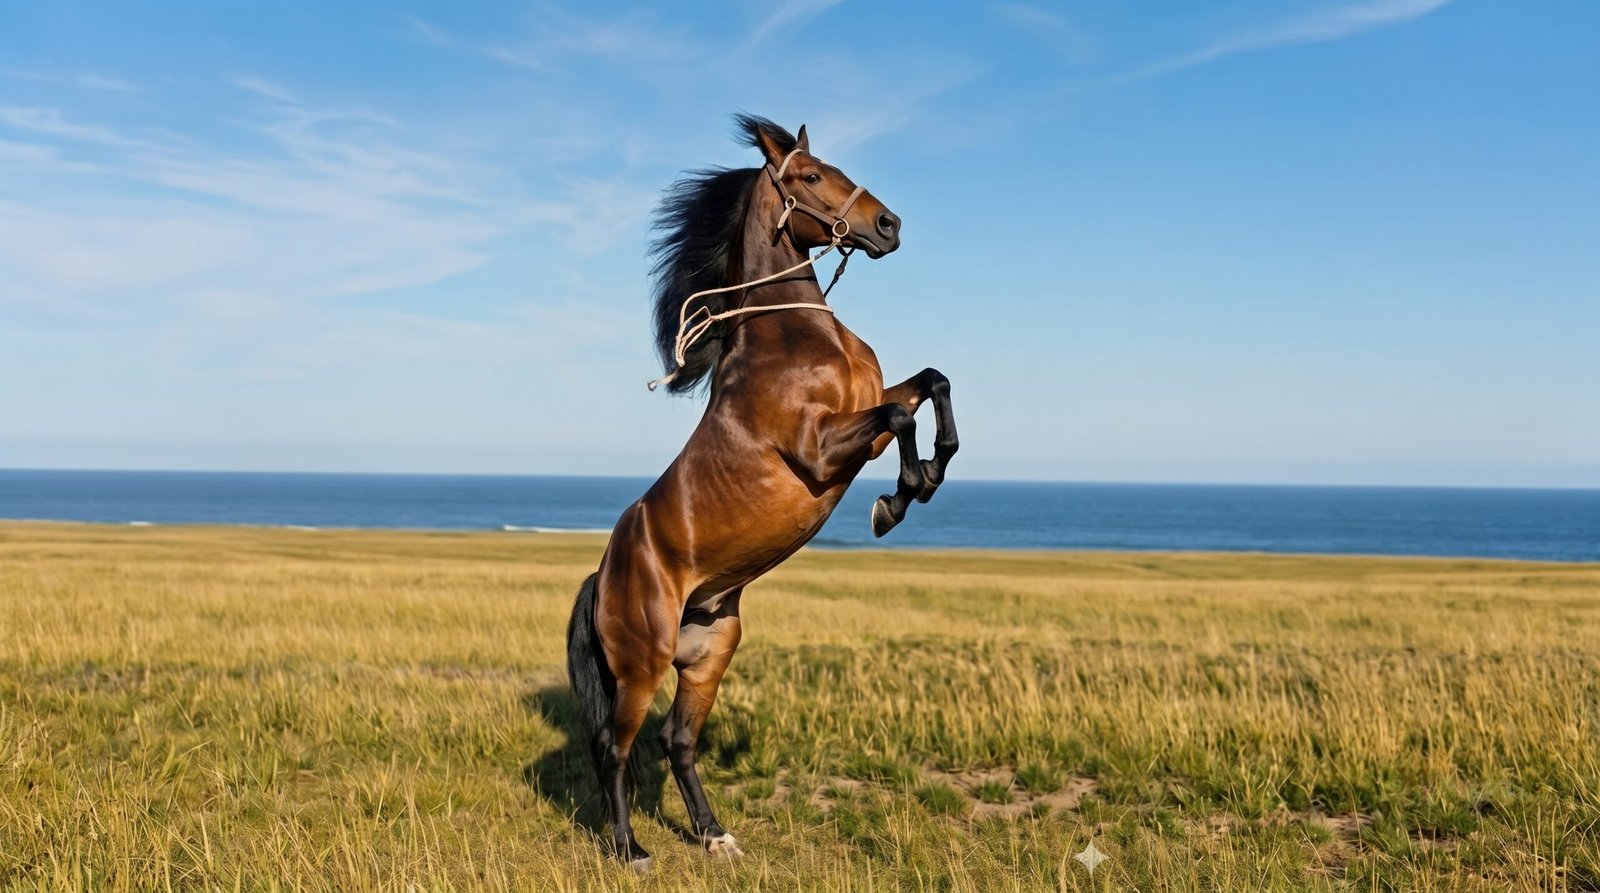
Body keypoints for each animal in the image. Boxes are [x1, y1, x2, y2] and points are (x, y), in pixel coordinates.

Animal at [565, 114, 958, 871]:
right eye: (808, 175)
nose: (888, 225)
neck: (792, 335)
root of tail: (603, 575)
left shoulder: (863, 422)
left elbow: (931, 382)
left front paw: (928, 474)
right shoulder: (821, 446)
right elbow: (901, 417)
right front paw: (898, 499)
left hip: (711, 651)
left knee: (677, 742)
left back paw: (714, 835)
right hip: (642, 664)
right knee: (614, 748)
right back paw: (630, 849)